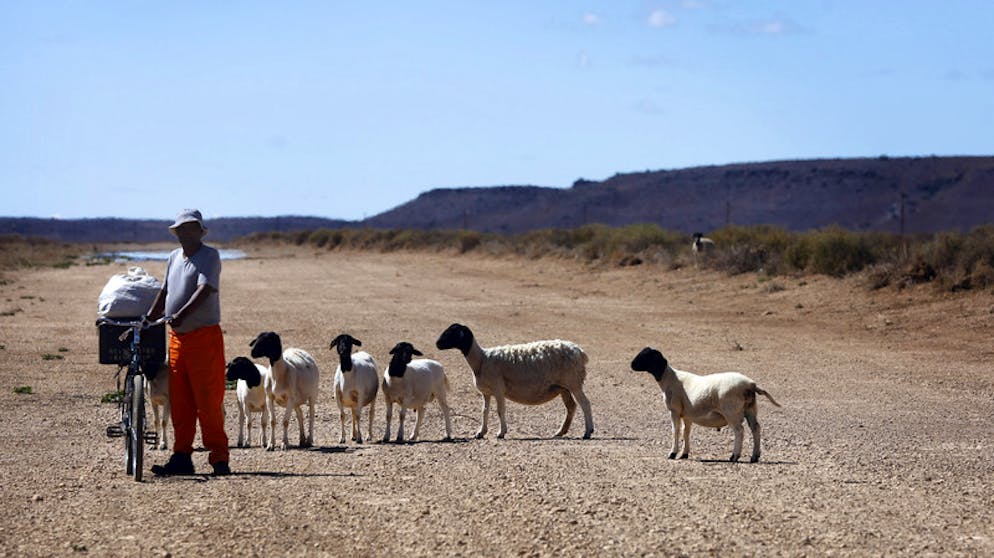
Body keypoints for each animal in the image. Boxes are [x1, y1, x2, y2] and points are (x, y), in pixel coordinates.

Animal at [435, 323, 593, 440]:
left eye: (451, 333)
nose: (437, 344)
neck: (481, 360)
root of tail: (580, 352)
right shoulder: (486, 392)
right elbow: (484, 411)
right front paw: (480, 432)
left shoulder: (498, 389)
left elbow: (500, 410)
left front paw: (501, 432)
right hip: (563, 387)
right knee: (571, 407)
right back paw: (560, 432)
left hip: (574, 383)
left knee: (585, 404)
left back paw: (588, 432)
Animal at [630, 347, 781, 463]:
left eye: (646, 355)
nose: (631, 364)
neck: (669, 378)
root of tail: (751, 384)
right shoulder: (687, 415)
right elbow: (686, 432)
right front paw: (684, 454)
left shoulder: (674, 411)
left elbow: (675, 431)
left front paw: (672, 454)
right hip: (750, 409)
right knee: (756, 429)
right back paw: (754, 456)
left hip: (732, 411)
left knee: (739, 431)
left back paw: (734, 456)